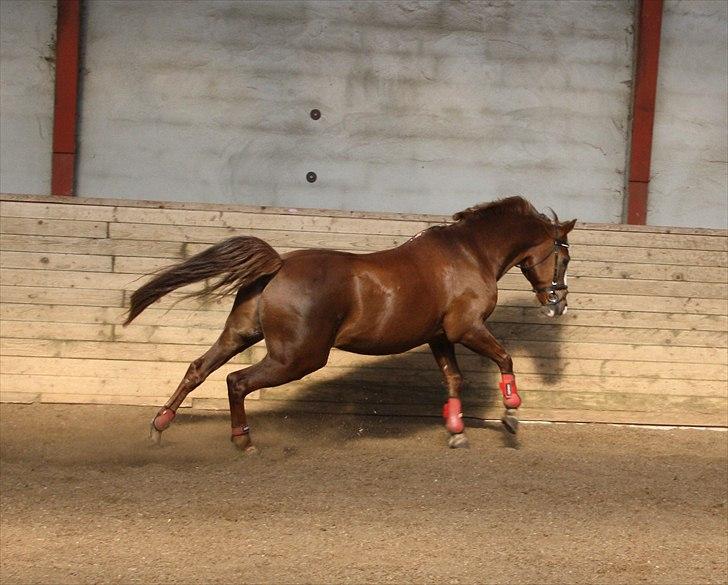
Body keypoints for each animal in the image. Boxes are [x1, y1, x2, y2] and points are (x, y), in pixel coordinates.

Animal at [125, 198, 576, 450]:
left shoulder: (440, 337)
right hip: (298, 357)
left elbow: (453, 379)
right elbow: (505, 360)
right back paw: (243, 440)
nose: (558, 303)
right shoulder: (466, 329)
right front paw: (511, 417)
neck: (470, 252)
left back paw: (159, 426)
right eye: (565, 256)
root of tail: (278, 265)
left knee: (198, 369)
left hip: (242, 334)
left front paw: (456, 431)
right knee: (236, 381)